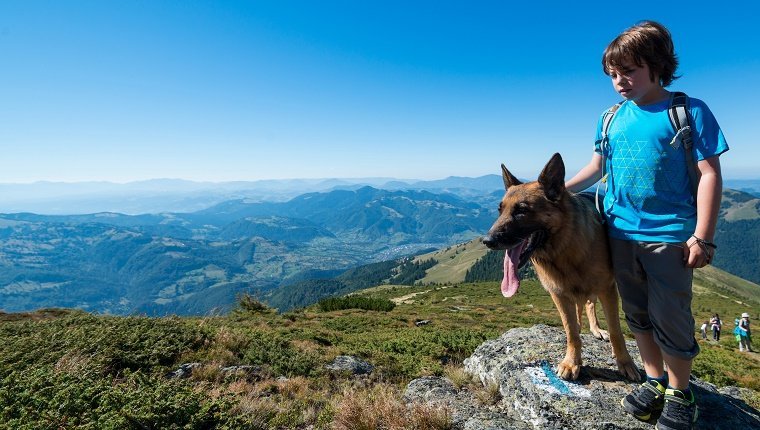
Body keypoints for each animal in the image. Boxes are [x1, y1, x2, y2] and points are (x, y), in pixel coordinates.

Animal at [484, 154, 640, 380]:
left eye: (522, 210)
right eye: (500, 210)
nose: (487, 241)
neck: (564, 250)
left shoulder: (608, 289)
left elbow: (616, 331)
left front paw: (625, 362)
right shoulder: (559, 294)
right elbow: (571, 332)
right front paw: (572, 361)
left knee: (591, 305)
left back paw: (597, 330)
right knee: (582, 309)